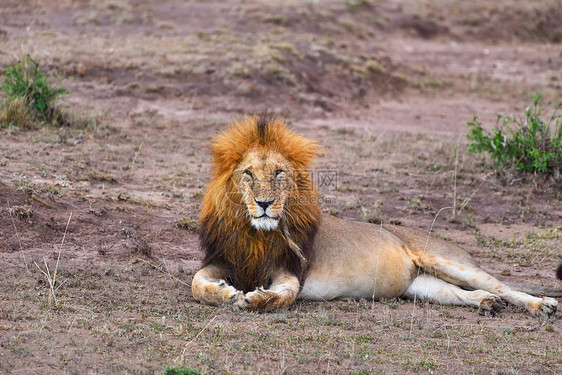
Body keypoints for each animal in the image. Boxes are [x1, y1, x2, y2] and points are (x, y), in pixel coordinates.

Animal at [190, 114, 556, 318]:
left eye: (279, 172)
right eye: (248, 173)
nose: (264, 203)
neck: (255, 233)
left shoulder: (290, 273)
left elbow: (282, 297)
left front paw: (255, 299)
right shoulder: (223, 260)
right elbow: (196, 284)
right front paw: (225, 292)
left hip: (449, 261)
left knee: (503, 286)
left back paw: (542, 305)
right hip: (422, 286)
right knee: (464, 294)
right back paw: (487, 304)